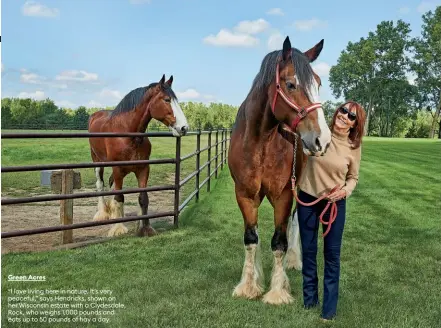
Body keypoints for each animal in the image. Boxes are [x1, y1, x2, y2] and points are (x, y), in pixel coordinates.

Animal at [87, 74, 187, 237]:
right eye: (167, 100)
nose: (184, 127)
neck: (128, 134)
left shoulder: (143, 169)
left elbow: (143, 198)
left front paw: (145, 228)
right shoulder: (117, 169)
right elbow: (119, 197)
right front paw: (118, 228)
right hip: (97, 161)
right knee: (100, 184)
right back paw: (102, 214)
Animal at [227, 36, 330, 304]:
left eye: (318, 83)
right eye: (291, 84)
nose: (322, 140)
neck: (260, 142)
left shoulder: (283, 195)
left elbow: (279, 242)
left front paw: (276, 292)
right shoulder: (244, 195)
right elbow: (251, 238)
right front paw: (249, 286)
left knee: (295, 221)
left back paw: (295, 260)